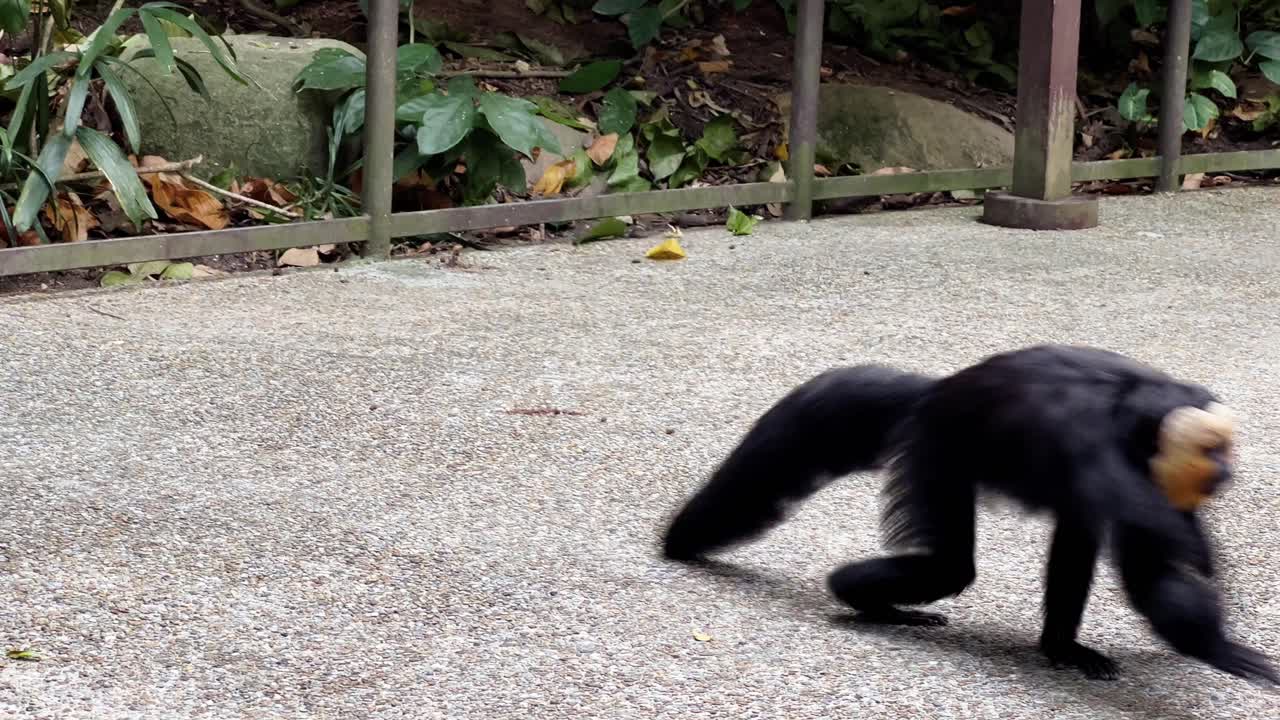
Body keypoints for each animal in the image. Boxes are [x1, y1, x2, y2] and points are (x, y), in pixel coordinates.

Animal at [660, 344, 1278, 685]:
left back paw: (1059, 648)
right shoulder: (1097, 441)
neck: (1136, 409)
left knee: (1074, 534)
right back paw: (858, 597)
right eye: (1212, 451)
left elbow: (1152, 573)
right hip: (937, 448)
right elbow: (1159, 554)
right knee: (950, 567)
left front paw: (1209, 639)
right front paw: (1218, 640)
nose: (1226, 469)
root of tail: (937, 391)